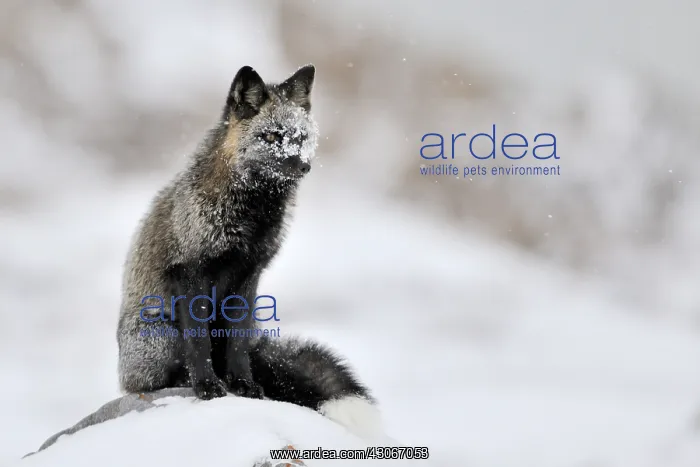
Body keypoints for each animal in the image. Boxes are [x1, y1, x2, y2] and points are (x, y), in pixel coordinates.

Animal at [116, 65, 382, 438]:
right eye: (270, 137)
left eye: (300, 137)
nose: (303, 167)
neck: (250, 216)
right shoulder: (191, 271)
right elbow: (198, 343)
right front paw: (207, 386)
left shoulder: (250, 273)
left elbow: (238, 344)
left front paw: (242, 384)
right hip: (161, 332)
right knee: (158, 378)